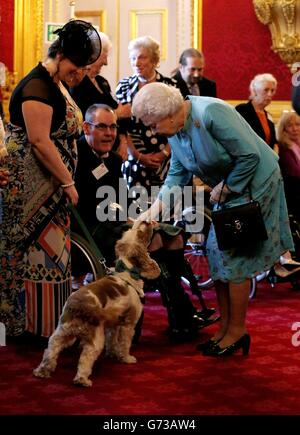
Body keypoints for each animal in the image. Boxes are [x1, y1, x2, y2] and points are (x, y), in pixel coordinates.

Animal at [32, 223, 162, 386]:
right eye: (140, 233)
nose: (147, 223)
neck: (127, 271)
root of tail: (78, 306)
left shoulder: (113, 325)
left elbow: (112, 341)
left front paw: (112, 354)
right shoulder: (128, 325)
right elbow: (125, 344)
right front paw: (126, 358)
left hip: (61, 333)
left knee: (50, 351)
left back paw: (42, 371)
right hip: (94, 339)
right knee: (85, 358)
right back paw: (82, 380)